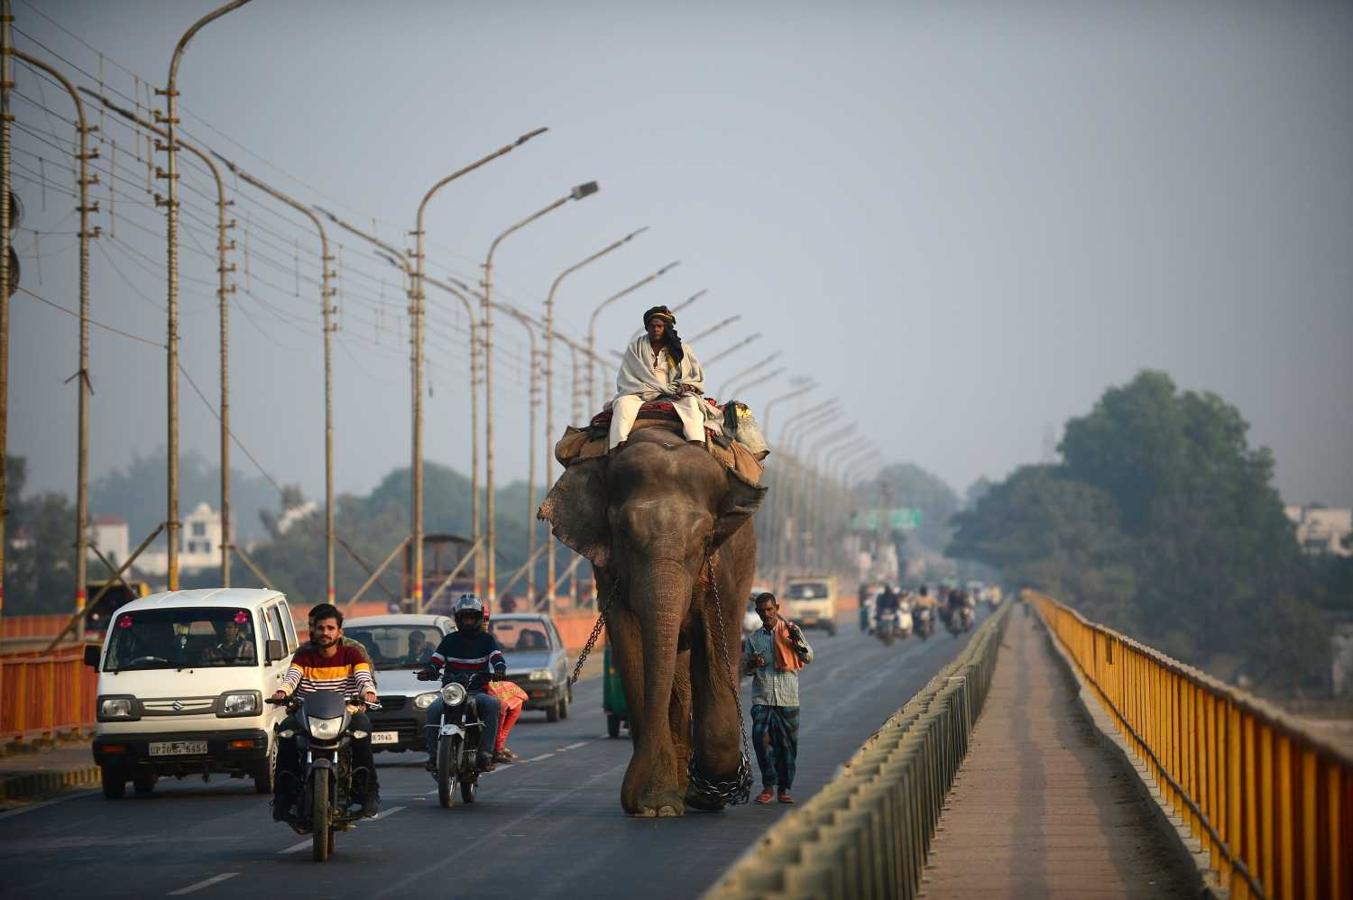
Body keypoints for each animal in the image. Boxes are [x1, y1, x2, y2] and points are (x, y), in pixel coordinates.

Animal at [541, 427, 773, 812]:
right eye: (623, 532)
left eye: (705, 538)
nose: (629, 800)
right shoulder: (609, 572)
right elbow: (631, 646)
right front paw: (656, 805)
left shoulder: (723, 566)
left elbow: (715, 642)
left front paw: (709, 792)